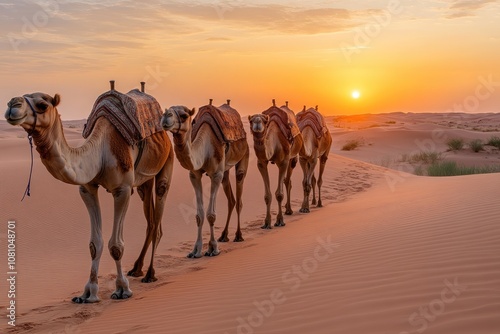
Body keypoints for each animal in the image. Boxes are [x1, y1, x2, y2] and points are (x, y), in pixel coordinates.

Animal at [3, 85, 174, 302]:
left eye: (42, 105)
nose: (12, 104)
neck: (99, 151)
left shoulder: (123, 189)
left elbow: (116, 245)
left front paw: (122, 289)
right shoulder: (87, 189)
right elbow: (94, 244)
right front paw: (88, 293)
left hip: (167, 162)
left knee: (159, 215)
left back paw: (150, 274)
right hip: (144, 182)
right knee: (150, 220)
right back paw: (137, 269)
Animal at [161, 99, 249, 258]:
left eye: (184, 116)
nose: (165, 117)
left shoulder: (216, 175)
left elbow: (211, 214)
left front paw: (213, 248)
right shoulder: (194, 175)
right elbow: (199, 215)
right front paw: (196, 250)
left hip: (244, 155)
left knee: (239, 197)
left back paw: (238, 236)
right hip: (225, 171)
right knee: (231, 200)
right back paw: (224, 236)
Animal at [248, 100, 302, 228]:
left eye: (264, 121)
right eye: (251, 120)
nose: (257, 122)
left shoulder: (283, 162)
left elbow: (279, 194)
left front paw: (280, 220)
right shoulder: (261, 163)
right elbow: (267, 195)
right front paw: (267, 222)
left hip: (292, 158)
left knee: (288, 181)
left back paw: (289, 210)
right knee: (288, 181)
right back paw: (287, 209)